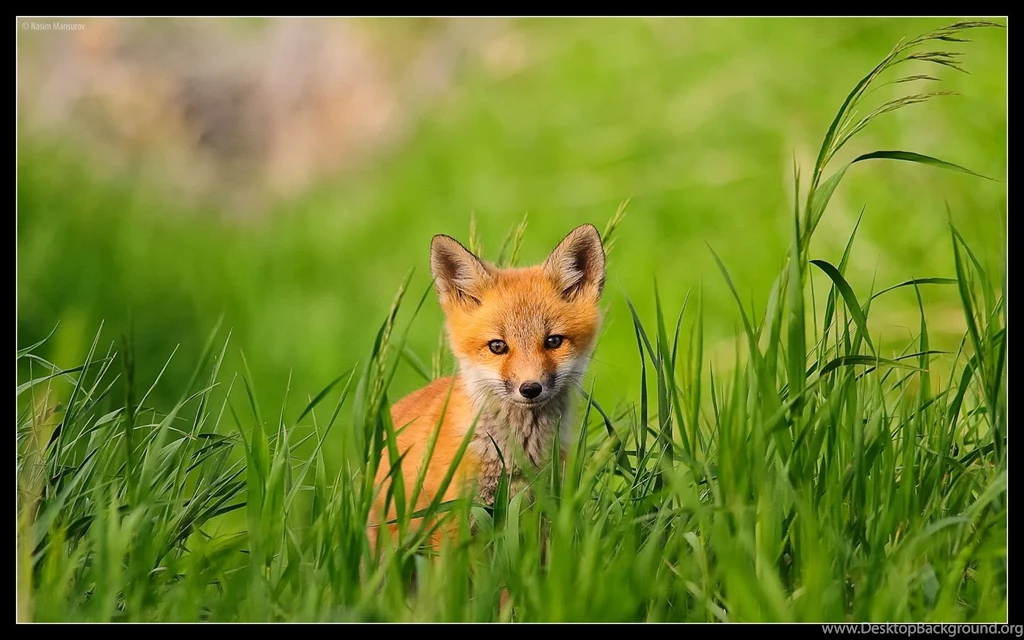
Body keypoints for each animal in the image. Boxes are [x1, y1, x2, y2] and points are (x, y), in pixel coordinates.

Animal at [368, 224, 606, 550]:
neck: (515, 456)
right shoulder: (452, 524)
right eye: (497, 346)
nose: (530, 388)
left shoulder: (543, 515)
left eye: (553, 341)